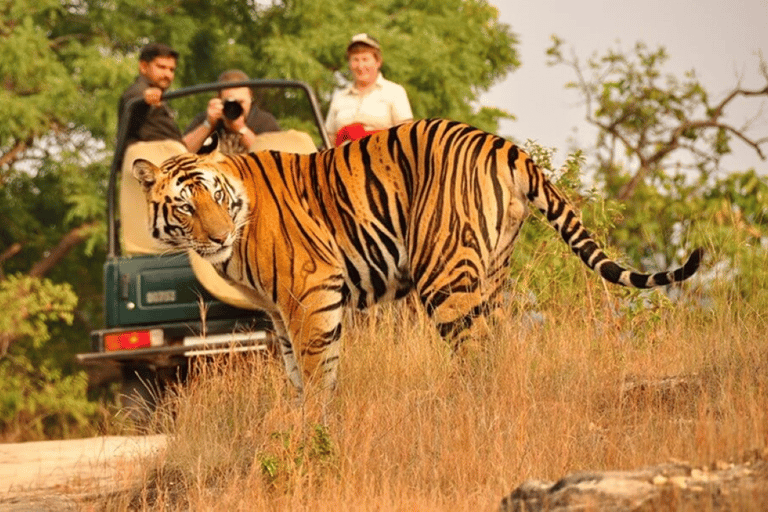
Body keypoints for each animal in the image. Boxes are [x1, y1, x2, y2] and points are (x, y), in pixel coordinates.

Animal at [132, 118, 703, 394]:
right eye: (185, 206)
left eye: (215, 196)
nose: (217, 236)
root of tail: (506, 145)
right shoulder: (279, 312)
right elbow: (299, 373)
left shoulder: (310, 294)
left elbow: (317, 373)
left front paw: (315, 432)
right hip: (492, 273)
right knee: (499, 345)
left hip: (445, 275)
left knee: (475, 352)